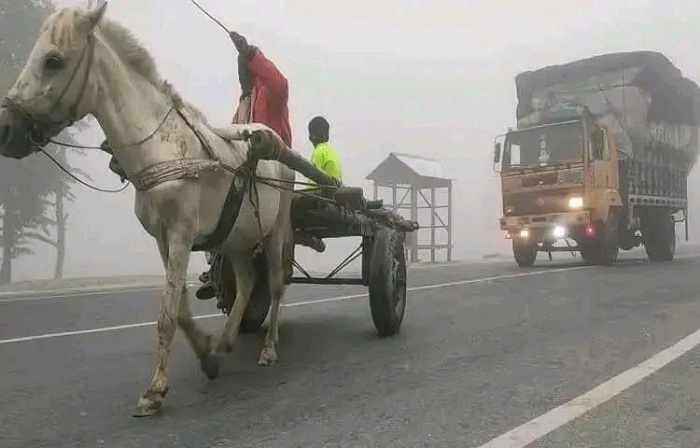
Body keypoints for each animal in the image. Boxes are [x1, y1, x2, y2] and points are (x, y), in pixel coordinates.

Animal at [0, 2, 296, 416]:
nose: (5, 130)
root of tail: (272, 139)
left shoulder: (183, 232)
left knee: (275, 283)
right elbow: (181, 309)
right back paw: (225, 341)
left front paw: (155, 390)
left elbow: (168, 312)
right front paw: (207, 354)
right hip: (236, 236)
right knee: (247, 282)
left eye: (53, 60)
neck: (162, 148)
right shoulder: (162, 237)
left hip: (276, 228)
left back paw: (269, 348)